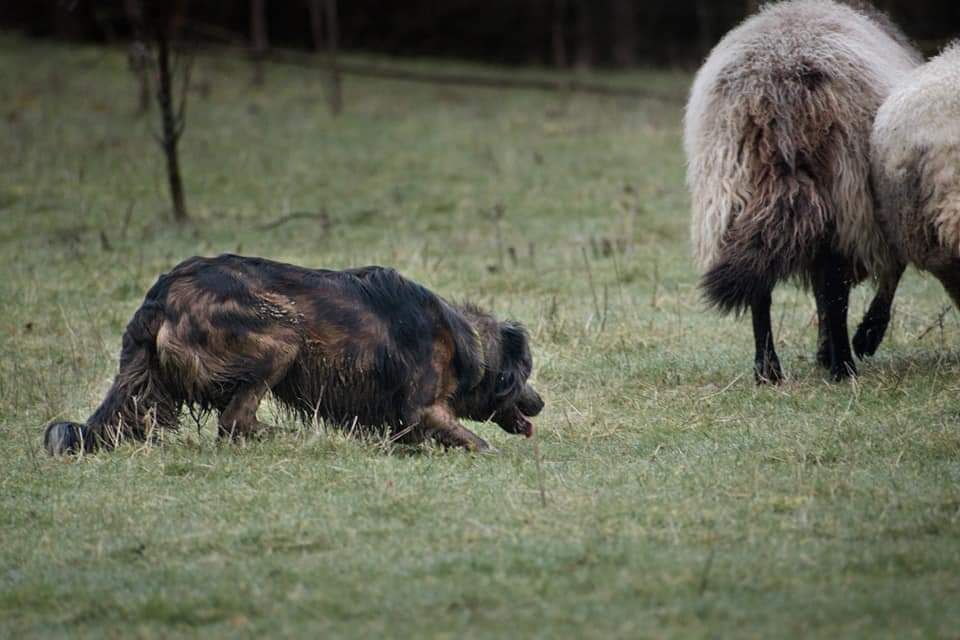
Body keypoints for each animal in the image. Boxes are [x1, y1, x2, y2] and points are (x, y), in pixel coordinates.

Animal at [45, 255, 544, 456]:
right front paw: (491, 453)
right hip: (283, 337)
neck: (463, 341)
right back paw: (288, 437)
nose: (539, 403)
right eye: (523, 376)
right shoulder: (422, 407)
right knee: (234, 421)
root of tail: (161, 295)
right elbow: (473, 439)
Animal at [684, 0, 924, 382]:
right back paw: (843, 366)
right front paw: (865, 337)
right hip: (846, 191)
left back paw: (768, 370)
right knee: (834, 285)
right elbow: (886, 275)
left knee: (762, 287)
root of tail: (777, 86)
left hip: (735, 191)